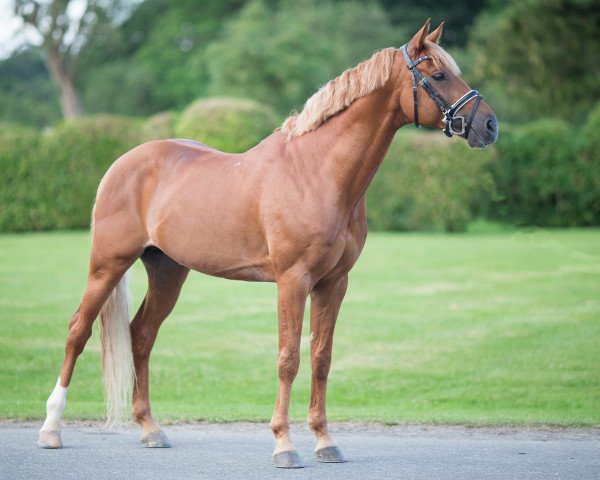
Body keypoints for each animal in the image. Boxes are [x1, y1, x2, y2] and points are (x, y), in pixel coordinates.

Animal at [37, 20, 496, 466]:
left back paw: (150, 429)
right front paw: (284, 445)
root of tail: (122, 163)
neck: (317, 172)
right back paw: (51, 428)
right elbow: (288, 359)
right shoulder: (292, 281)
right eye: (438, 75)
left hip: (167, 271)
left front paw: (325, 441)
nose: (489, 125)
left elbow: (321, 358)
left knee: (141, 335)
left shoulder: (334, 284)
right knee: (77, 330)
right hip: (108, 264)